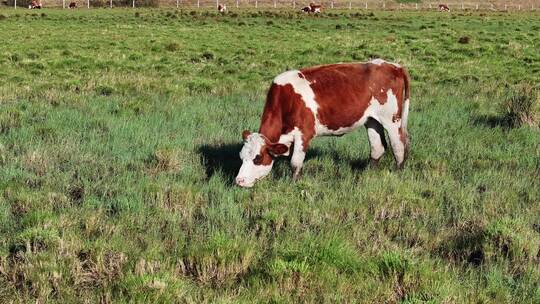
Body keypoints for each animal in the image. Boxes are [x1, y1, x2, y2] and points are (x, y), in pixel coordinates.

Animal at [235, 58, 410, 188]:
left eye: (257, 158)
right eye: (241, 157)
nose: (239, 181)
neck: (287, 99)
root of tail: (394, 65)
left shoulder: (304, 133)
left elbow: (295, 163)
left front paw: (294, 184)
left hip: (392, 119)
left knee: (398, 145)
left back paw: (398, 173)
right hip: (372, 120)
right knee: (377, 147)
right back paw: (367, 174)